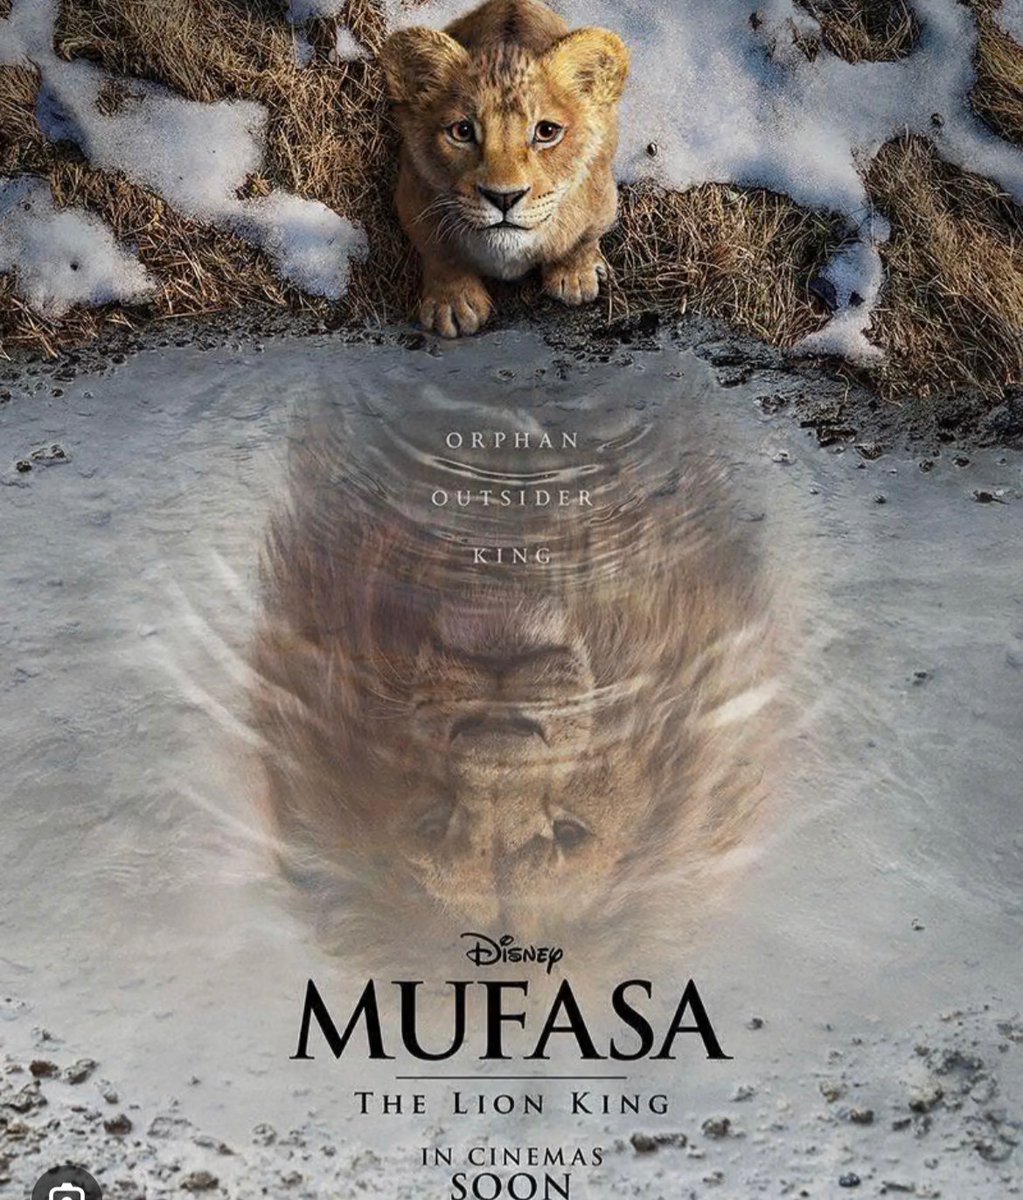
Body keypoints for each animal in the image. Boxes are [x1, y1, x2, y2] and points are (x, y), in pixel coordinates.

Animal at [379, 0, 629, 338]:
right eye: (462, 131)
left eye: (546, 131)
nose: (504, 198)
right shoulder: (412, 196)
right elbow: (439, 252)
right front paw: (453, 304)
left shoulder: (602, 196)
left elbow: (583, 238)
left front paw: (576, 276)